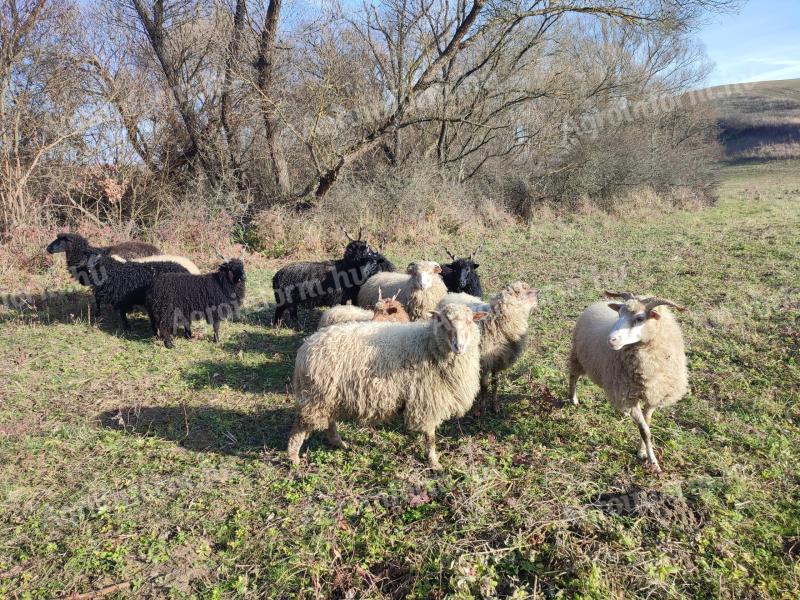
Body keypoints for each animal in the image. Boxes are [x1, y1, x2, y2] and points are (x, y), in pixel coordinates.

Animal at [290, 304, 488, 468]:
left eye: (470, 321)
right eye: (443, 322)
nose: (459, 346)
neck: (428, 344)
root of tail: (306, 346)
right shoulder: (427, 400)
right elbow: (430, 436)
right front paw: (433, 461)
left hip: (329, 395)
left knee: (329, 422)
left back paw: (340, 443)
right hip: (316, 396)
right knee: (299, 427)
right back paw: (293, 458)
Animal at [440, 282, 540, 412]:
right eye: (522, 292)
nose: (538, 293)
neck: (496, 322)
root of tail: (452, 294)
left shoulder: (497, 360)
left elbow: (495, 382)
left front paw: (495, 404)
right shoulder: (484, 362)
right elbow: (484, 385)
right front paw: (482, 407)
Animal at [564, 292, 692, 474]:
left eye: (640, 318)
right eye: (619, 314)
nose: (611, 340)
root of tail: (597, 303)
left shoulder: (653, 394)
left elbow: (647, 424)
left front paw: (642, 451)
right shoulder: (629, 397)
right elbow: (645, 431)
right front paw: (653, 462)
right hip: (579, 356)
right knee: (573, 376)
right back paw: (573, 398)